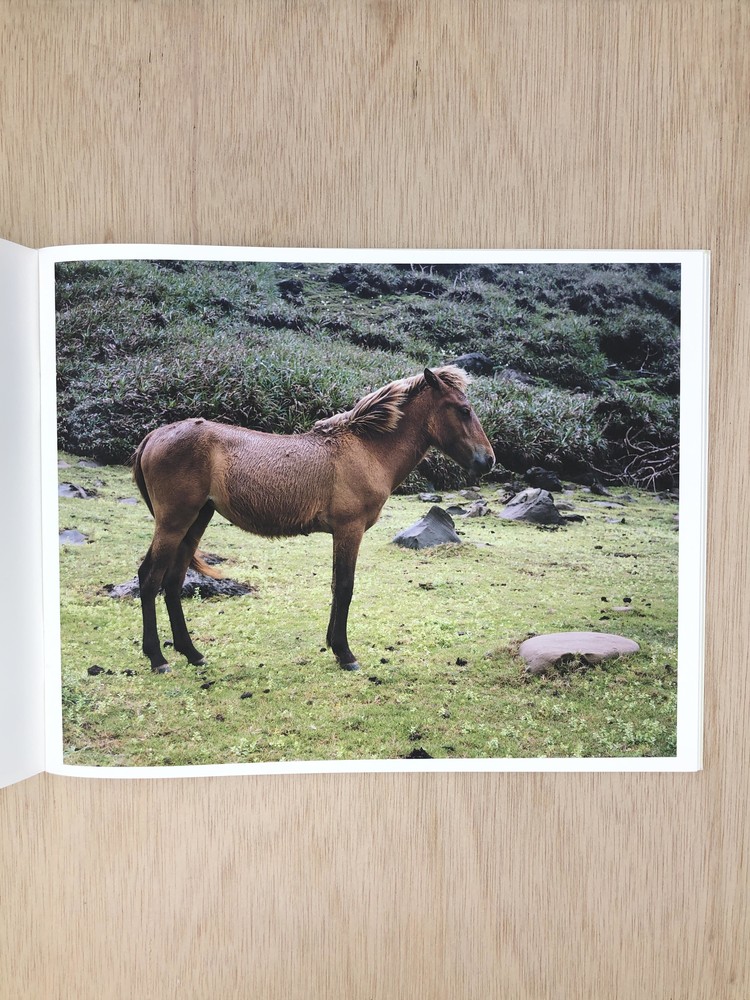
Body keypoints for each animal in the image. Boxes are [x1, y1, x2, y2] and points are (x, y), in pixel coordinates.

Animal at [132, 365, 495, 673]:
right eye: (464, 409)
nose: (488, 460)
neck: (367, 450)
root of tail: (154, 436)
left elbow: (336, 586)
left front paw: (334, 646)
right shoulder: (349, 530)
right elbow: (345, 587)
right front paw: (345, 654)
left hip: (195, 521)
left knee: (173, 582)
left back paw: (192, 653)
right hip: (174, 523)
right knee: (149, 578)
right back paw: (158, 659)